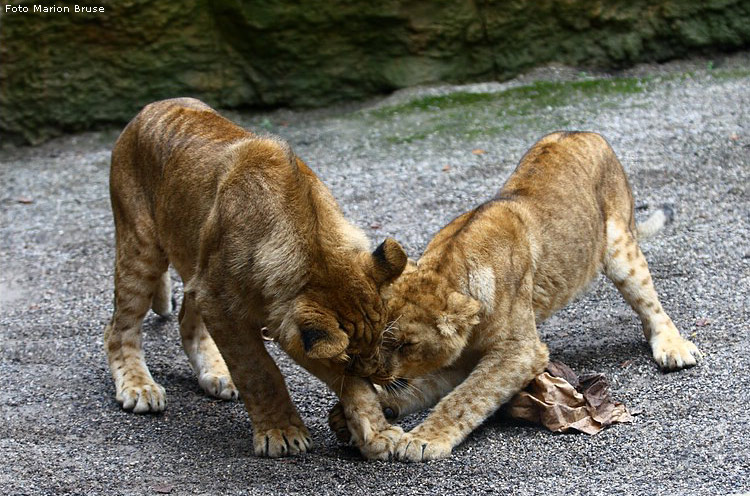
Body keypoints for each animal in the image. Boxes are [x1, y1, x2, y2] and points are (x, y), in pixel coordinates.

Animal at [103, 99, 408, 460]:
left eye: (381, 340)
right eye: (350, 359)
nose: (385, 376)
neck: (310, 236)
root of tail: (151, 106)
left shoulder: (280, 322)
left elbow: (353, 387)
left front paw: (378, 432)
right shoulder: (222, 305)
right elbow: (260, 371)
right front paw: (282, 432)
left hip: (195, 264)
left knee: (186, 320)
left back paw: (215, 373)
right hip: (140, 248)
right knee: (118, 328)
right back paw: (139, 387)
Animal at [350, 131, 704, 462]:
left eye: (405, 345)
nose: (372, 373)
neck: (448, 263)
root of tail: (585, 132)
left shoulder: (520, 352)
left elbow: (466, 397)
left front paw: (422, 440)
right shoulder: (464, 358)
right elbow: (428, 384)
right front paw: (374, 408)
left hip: (619, 247)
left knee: (651, 306)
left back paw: (673, 348)